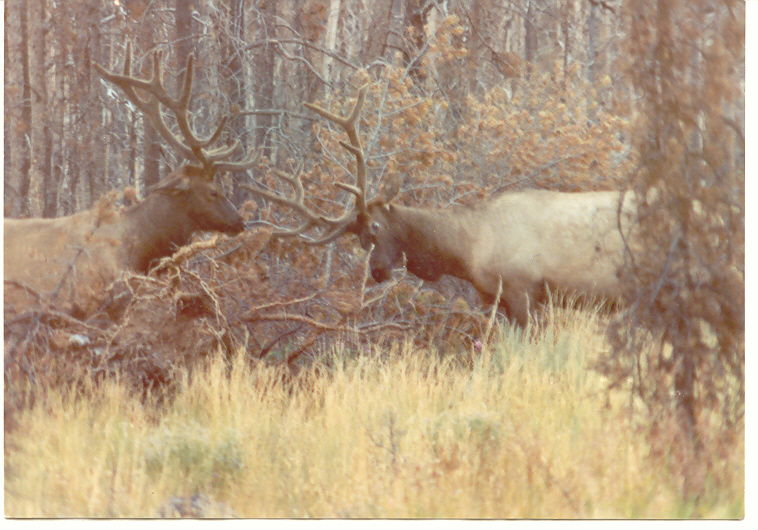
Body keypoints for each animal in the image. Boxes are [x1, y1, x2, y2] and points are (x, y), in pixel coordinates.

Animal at [243, 85, 636, 326]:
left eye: (376, 226)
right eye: (357, 238)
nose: (378, 272)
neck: (470, 246)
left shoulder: (523, 289)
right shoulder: (498, 297)